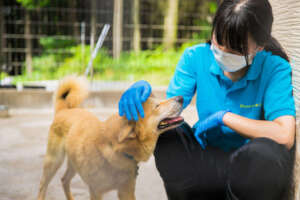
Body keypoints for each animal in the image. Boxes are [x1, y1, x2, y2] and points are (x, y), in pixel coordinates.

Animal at [36, 77, 184, 200]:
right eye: (157, 106)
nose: (181, 98)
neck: (114, 148)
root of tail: (64, 110)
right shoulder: (96, 191)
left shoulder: (126, 191)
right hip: (53, 161)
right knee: (43, 185)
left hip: (73, 163)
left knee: (64, 180)